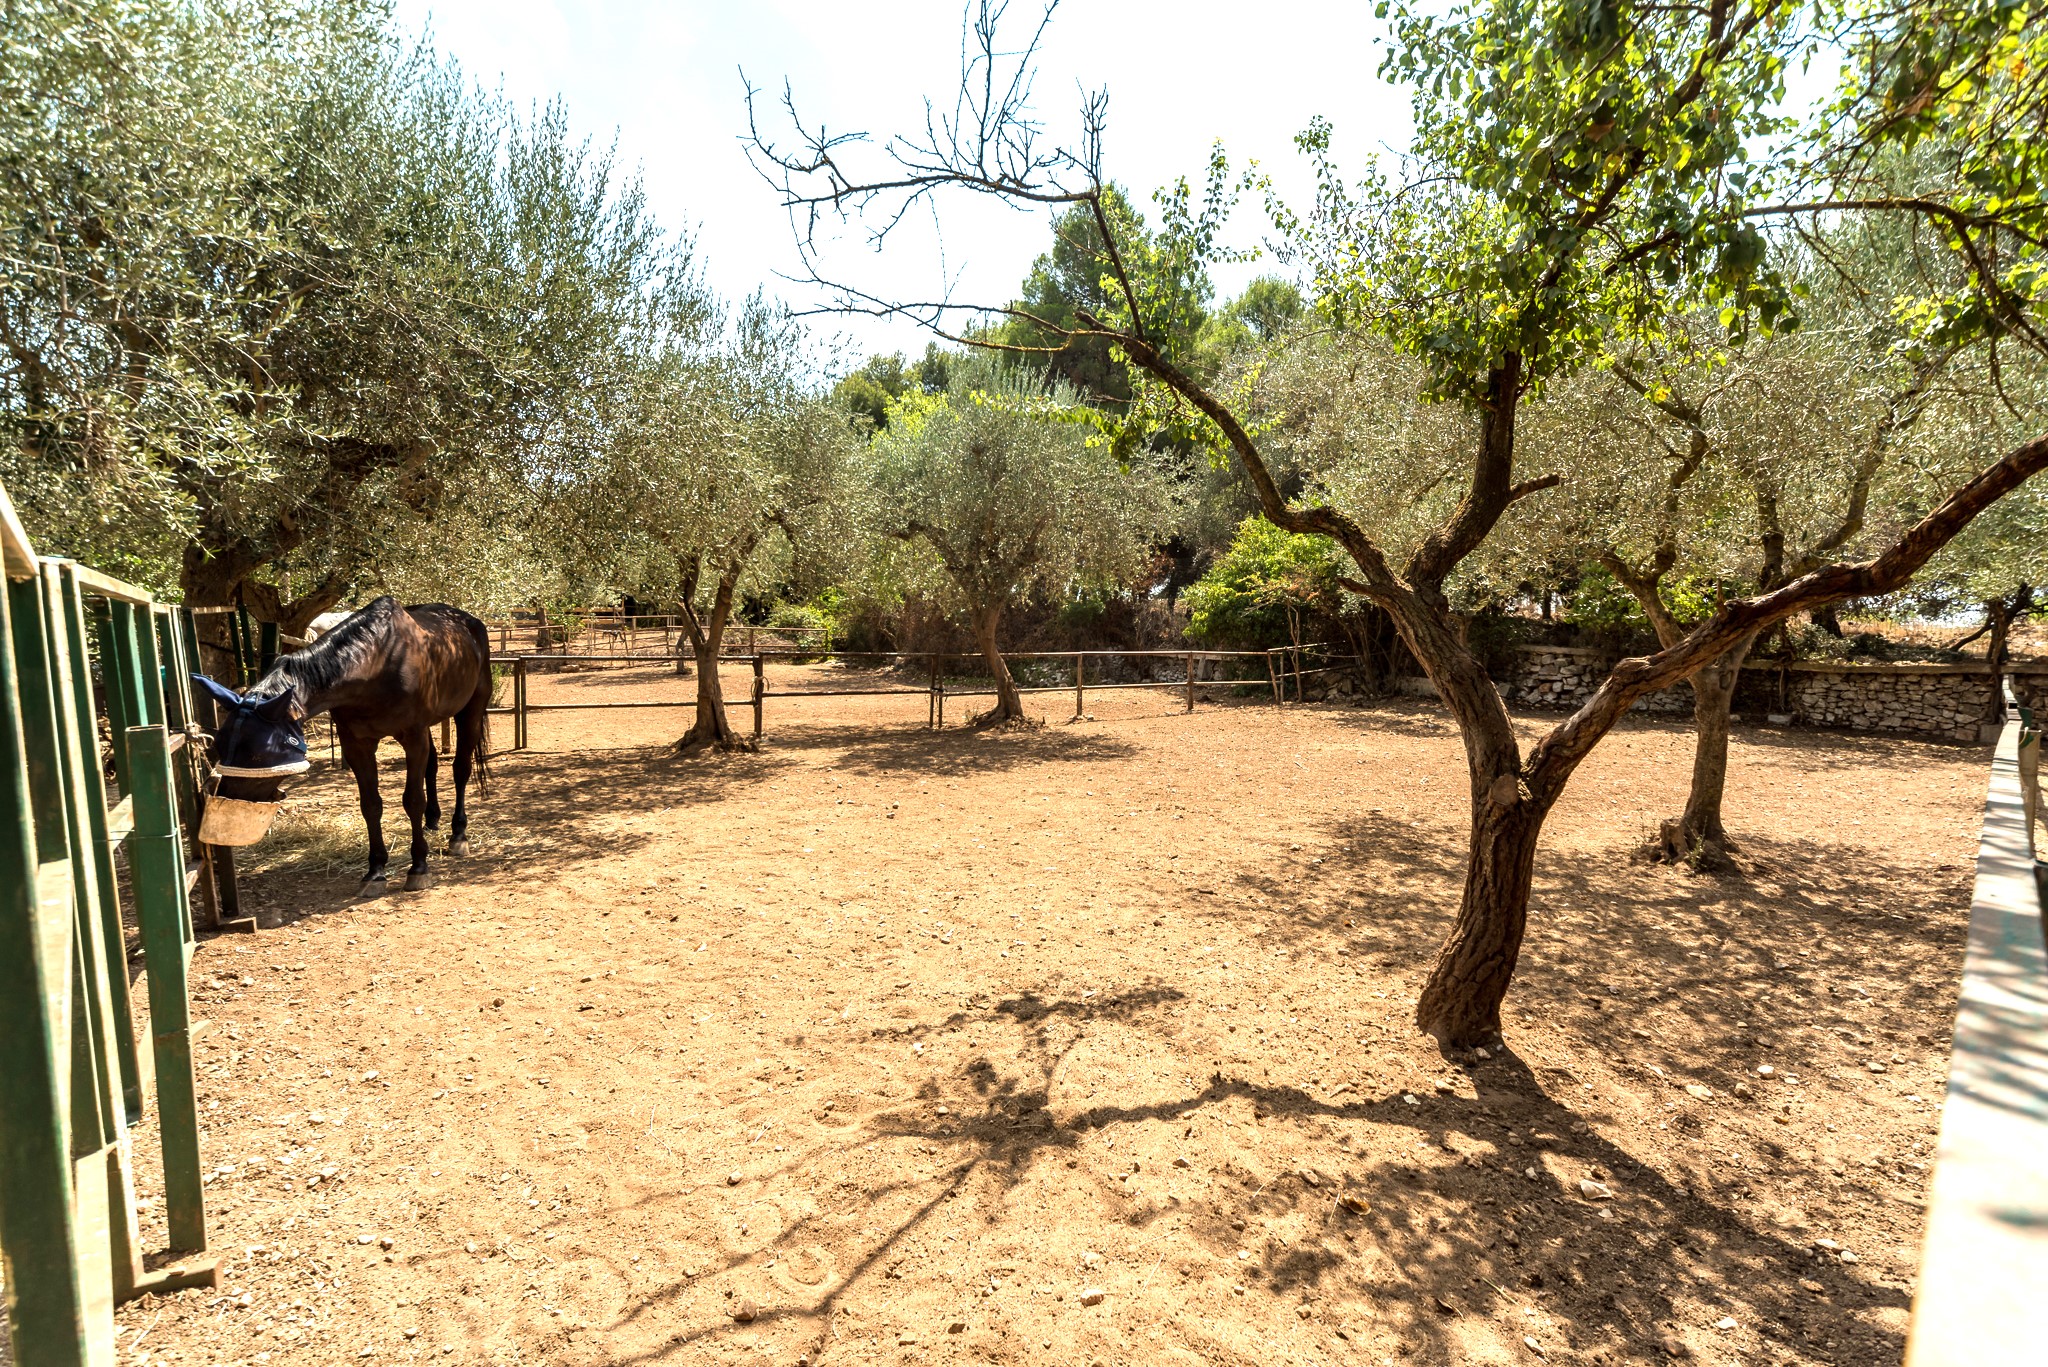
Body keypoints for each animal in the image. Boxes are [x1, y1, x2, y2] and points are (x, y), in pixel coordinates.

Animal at [197, 594, 493, 893]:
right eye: (219, 744)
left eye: (259, 753)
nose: (229, 804)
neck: (378, 663)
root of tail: (471, 623)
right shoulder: (356, 745)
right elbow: (371, 805)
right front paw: (376, 870)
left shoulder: (413, 737)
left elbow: (412, 800)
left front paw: (418, 867)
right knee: (431, 767)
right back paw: (431, 820)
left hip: (470, 711)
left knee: (460, 770)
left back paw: (458, 835)